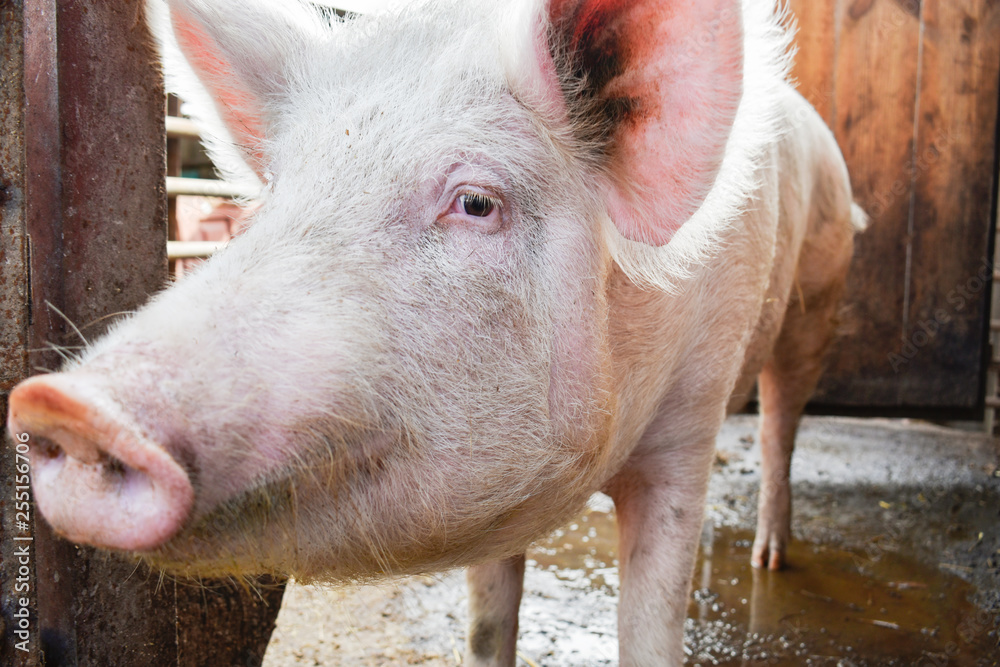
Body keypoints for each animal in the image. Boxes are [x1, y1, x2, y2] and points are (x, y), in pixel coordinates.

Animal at [6, 0, 865, 663]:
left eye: (476, 202)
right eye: (279, 193)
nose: (63, 405)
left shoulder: (691, 418)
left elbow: (652, 622)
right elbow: (488, 623)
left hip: (819, 300)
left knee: (782, 421)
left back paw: (771, 557)